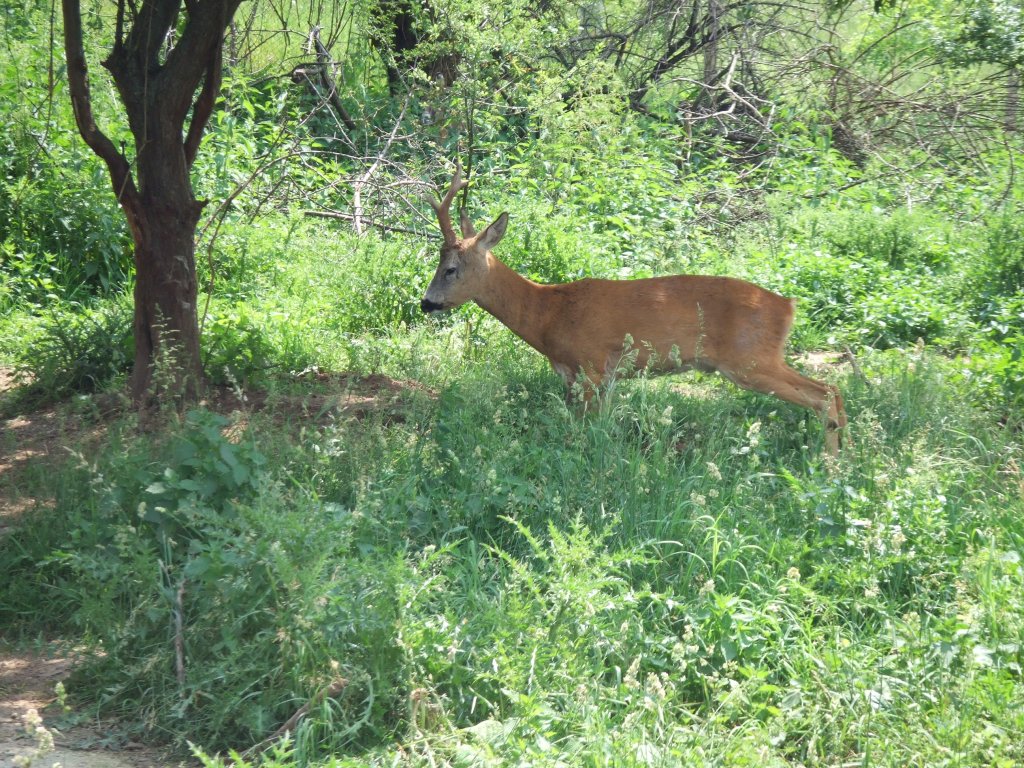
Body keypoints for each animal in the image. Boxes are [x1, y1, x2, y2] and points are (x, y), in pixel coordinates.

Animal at [415, 159, 847, 454]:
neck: (548, 312)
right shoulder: (587, 377)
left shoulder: (591, 366)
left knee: (826, 392)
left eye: (450, 268)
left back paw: (829, 469)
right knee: (834, 393)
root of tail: (787, 306)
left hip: (750, 359)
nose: (425, 303)